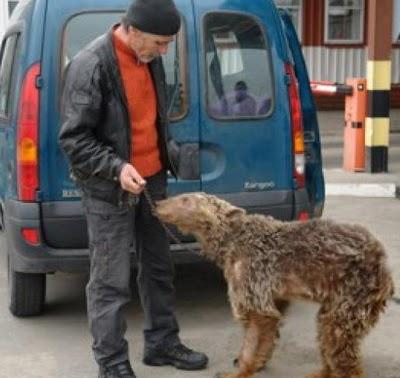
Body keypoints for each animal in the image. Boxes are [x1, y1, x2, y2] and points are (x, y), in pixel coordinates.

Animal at [156, 193, 394, 376]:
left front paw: (240, 371)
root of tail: (383, 264)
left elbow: (249, 347)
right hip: (332, 310)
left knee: (347, 366)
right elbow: (264, 341)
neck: (233, 238)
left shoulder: (255, 298)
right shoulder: (272, 301)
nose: (157, 204)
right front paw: (257, 363)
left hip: (347, 309)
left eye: (186, 199)